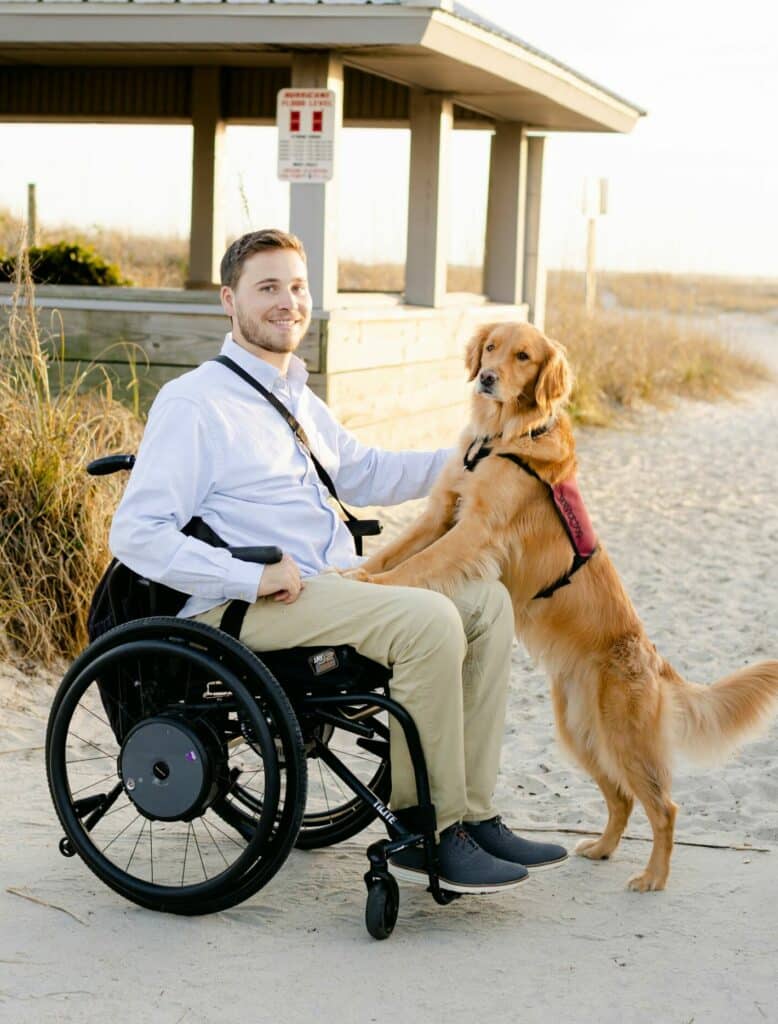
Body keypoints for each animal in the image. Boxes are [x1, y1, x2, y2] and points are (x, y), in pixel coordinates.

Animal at [354, 323, 778, 892]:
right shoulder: (442, 512)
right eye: (491, 348)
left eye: (523, 356)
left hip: (625, 739)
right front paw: (350, 574)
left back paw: (653, 878)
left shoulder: (474, 531)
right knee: (622, 797)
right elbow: (394, 552)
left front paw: (367, 582)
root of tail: (651, 655)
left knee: (664, 808)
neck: (500, 437)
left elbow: (416, 566)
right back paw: (601, 848)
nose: (487, 378)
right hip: (580, 734)